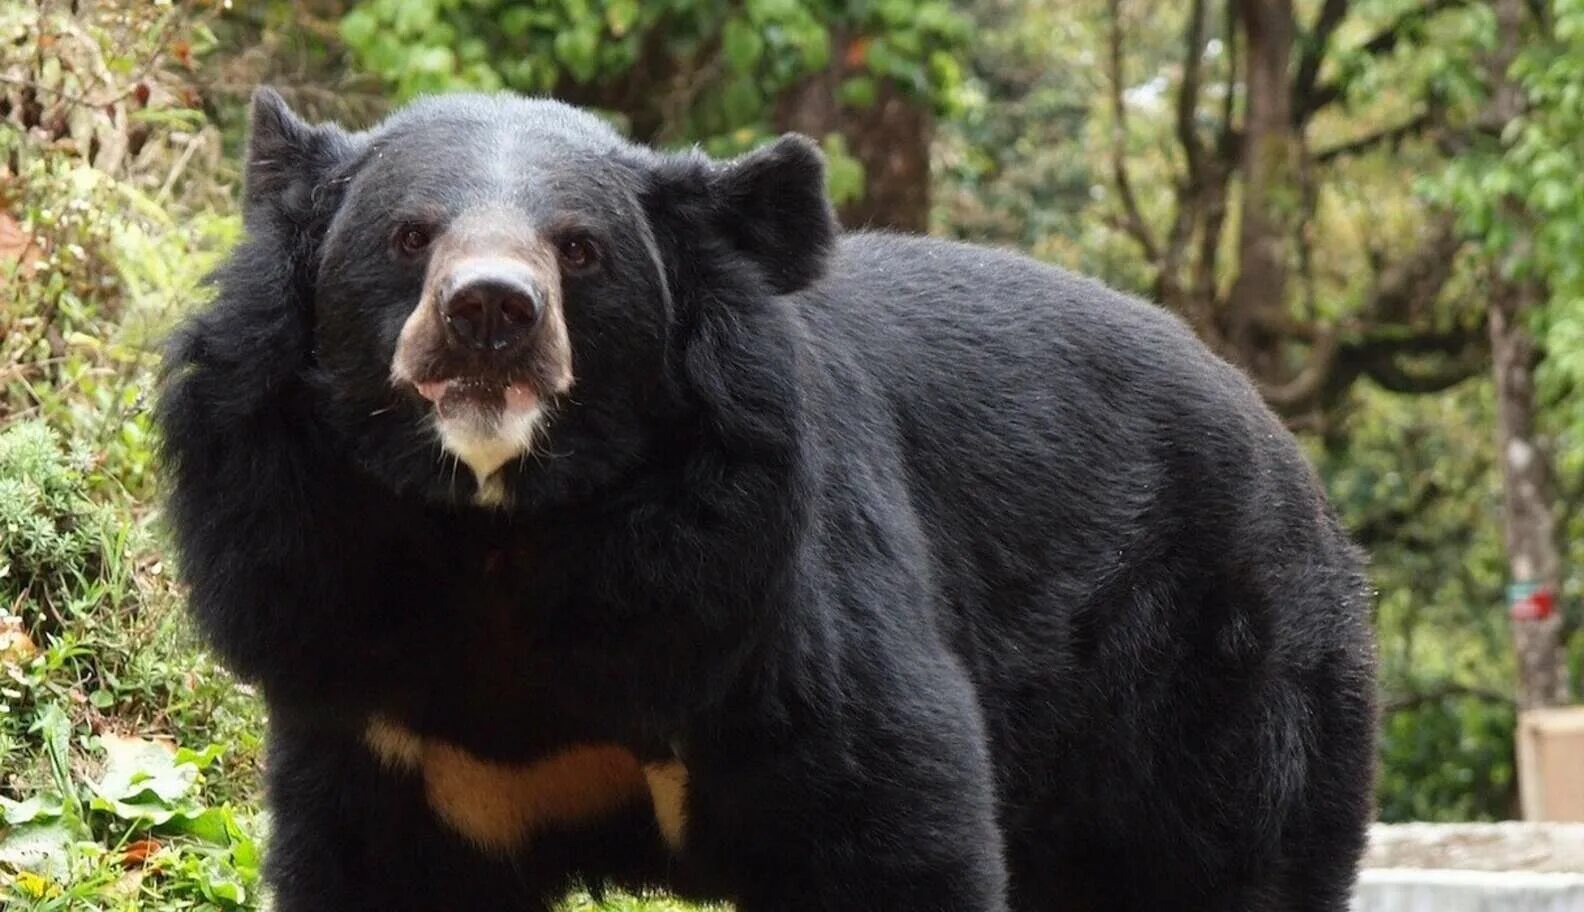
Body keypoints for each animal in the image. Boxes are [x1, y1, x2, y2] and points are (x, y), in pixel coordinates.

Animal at [157, 91, 1374, 912]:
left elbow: (887, 825)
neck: (506, 529)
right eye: (409, 235)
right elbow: (379, 866)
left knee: (1217, 863)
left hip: (1211, 681)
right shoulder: (354, 655)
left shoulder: (759, 600)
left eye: (580, 251)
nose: (490, 315)